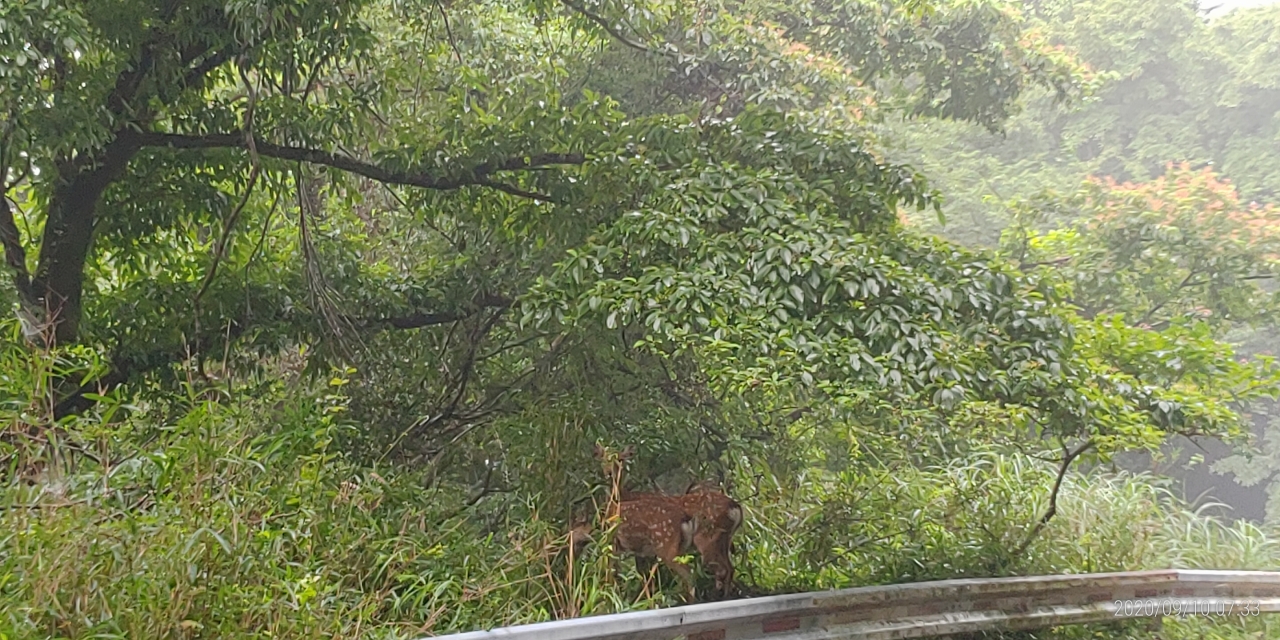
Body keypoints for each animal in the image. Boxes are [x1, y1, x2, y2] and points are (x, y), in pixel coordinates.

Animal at [593, 442, 747, 596]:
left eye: (620, 459)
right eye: (603, 458)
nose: (609, 473)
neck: (623, 498)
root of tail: (736, 507)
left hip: (705, 538)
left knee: (710, 571)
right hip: (723, 540)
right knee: (729, 568)